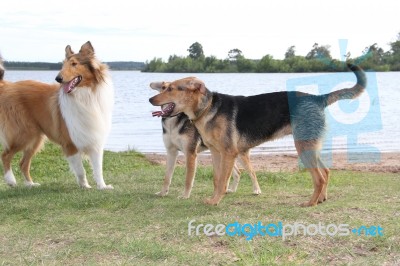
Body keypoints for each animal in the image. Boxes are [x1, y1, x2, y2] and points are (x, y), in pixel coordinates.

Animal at [0, 41, 114, 189]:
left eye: (74, 64)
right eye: (63, 65)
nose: (58, 78)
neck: (84, 95)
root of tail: (6, 86)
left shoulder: (95, 139)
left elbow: (98, 168)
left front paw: (102, 186)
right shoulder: (70, 143)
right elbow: (80, 170)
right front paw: (85, 186)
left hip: (35, 138)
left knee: (23, 163)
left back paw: (31, 184)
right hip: (24, 134)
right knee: (5, 155)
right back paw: (11, 181)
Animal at [149, 64, 366, 206]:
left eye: (171, 88)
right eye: (164, 87)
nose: (150, 99)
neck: (208, 108)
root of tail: (318, 98)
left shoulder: (227, 154)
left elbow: (222, 181)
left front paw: (216, 201)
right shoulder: (216, 153)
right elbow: (217, 180)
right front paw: (213, 199)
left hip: (303, 147)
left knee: (319, 178)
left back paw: (310, 203)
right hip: (311, 147)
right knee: (326, 172)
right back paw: (321, 199)